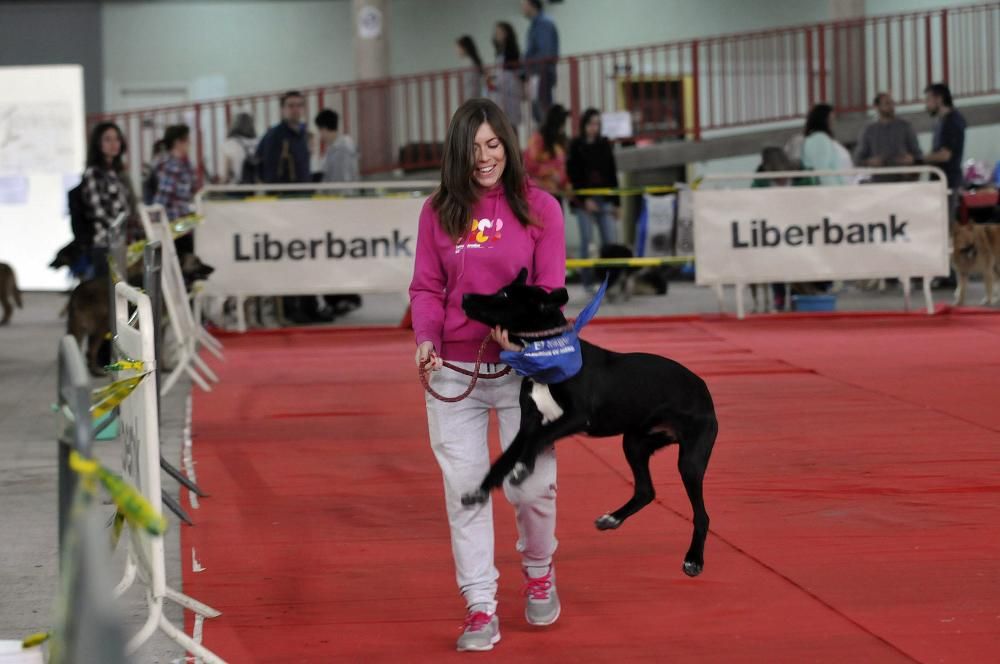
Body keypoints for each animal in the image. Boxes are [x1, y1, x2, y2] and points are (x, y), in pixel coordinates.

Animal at [460, 268, 720, 576]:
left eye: (504, 295)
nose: (464, 296)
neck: (543, 352)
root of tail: (703, 389)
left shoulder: (575, 416)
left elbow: (538, 439)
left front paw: (523, 468)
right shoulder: (529, 423)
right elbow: (504, 458)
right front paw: (480, 490)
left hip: (690, 458)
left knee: (702, 514)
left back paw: (694, 559)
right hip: (635, 442)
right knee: (646, 490)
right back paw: (612, 519)